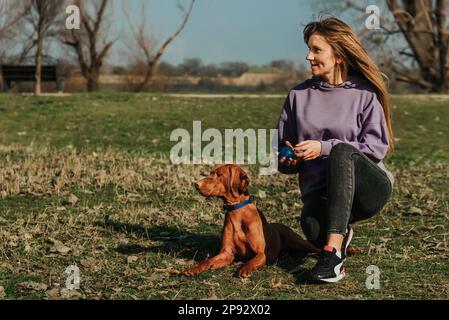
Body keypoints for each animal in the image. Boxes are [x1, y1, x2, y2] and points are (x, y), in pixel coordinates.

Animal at [182, 164, 318, 276]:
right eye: (210, 173)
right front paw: (193, 269)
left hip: (300, 242)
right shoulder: (226, 253)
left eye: (219, 174)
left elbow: (251, 262)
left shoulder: (261, 254)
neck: (236, 212)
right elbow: (207, 261)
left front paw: (244, 269)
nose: (196, 184)